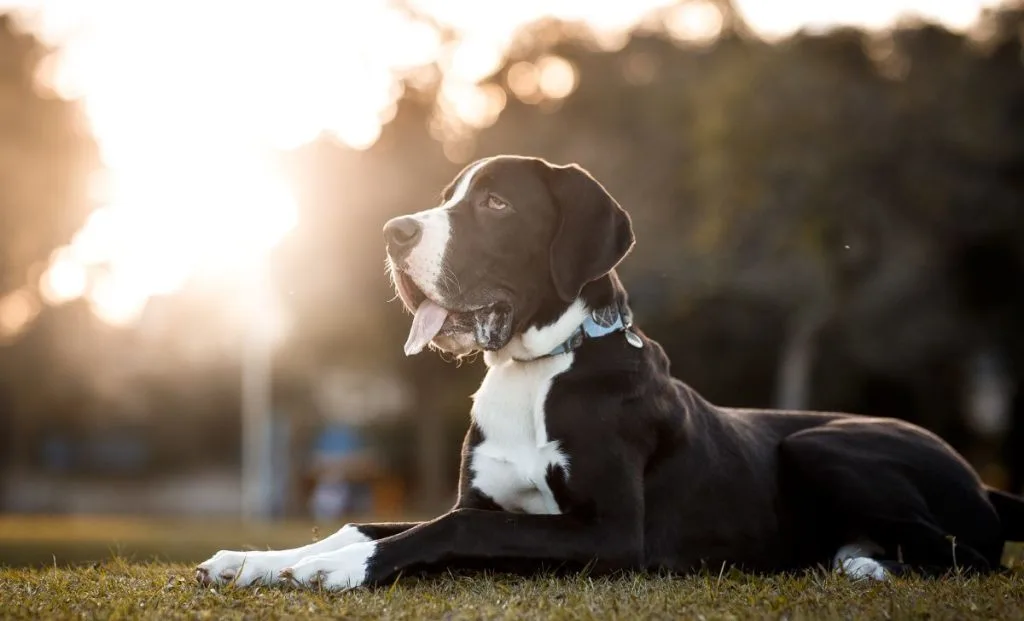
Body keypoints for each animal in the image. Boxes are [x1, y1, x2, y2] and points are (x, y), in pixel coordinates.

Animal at [197, 154, 1024, 590]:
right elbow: (371, 518)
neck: (538, 367)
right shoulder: (489, 503)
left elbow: (447, 527)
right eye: (446, 198)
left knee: (966, 553)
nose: (392, 231)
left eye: (494, 203)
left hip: (822, 443)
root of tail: (984, 482)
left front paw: (344, 568)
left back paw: (864, 563)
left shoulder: (614, 535)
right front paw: (259, 558)